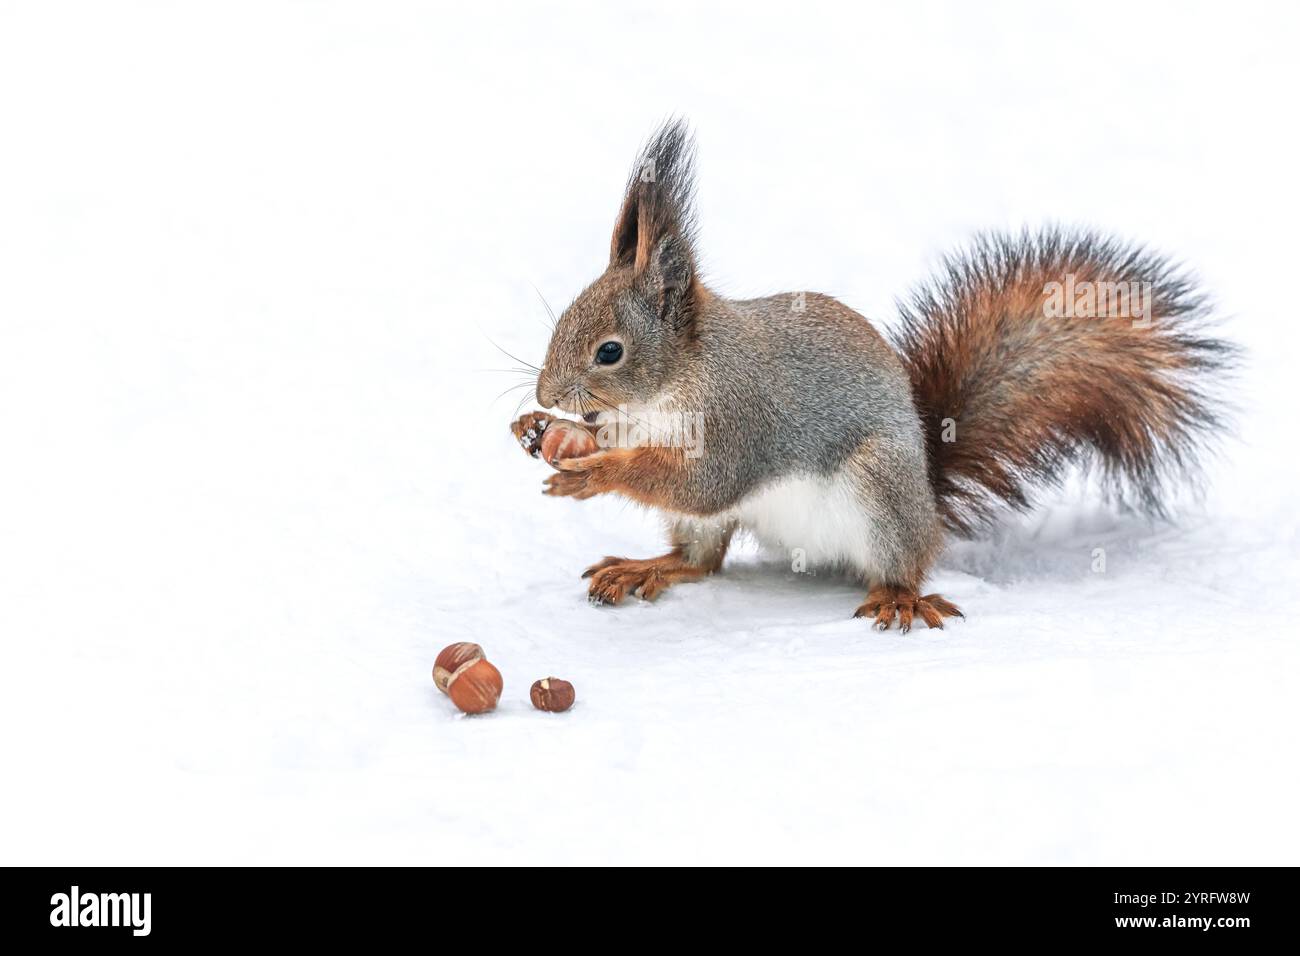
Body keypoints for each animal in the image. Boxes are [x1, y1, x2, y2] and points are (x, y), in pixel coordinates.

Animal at [510, 121, 1234, 630]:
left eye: (610, 352)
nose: (545, 392)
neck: (671, 385)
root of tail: (927, 498)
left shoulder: (737, 422)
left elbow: (700, 481)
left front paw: (593, 473)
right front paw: (538, 430)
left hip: (879, 489)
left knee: (901, 564)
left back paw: (899, 598)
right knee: (701, 560)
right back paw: (647, 568)